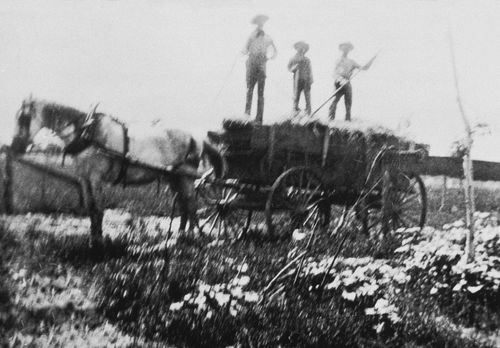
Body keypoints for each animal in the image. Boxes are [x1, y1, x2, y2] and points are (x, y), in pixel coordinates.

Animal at [10, 96, 226, 246]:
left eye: (24, 118)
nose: (15, 147)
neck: (87, 133)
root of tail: (196, 136)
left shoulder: (96, 178)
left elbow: (98, 209)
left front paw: (98, 242)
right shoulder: (84, 179)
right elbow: (90, 207)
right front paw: (94, 238)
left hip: (185, 176)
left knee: (191, 204)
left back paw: (195, 236)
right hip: (174, 177)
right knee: (183, 204)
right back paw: (180, 236)